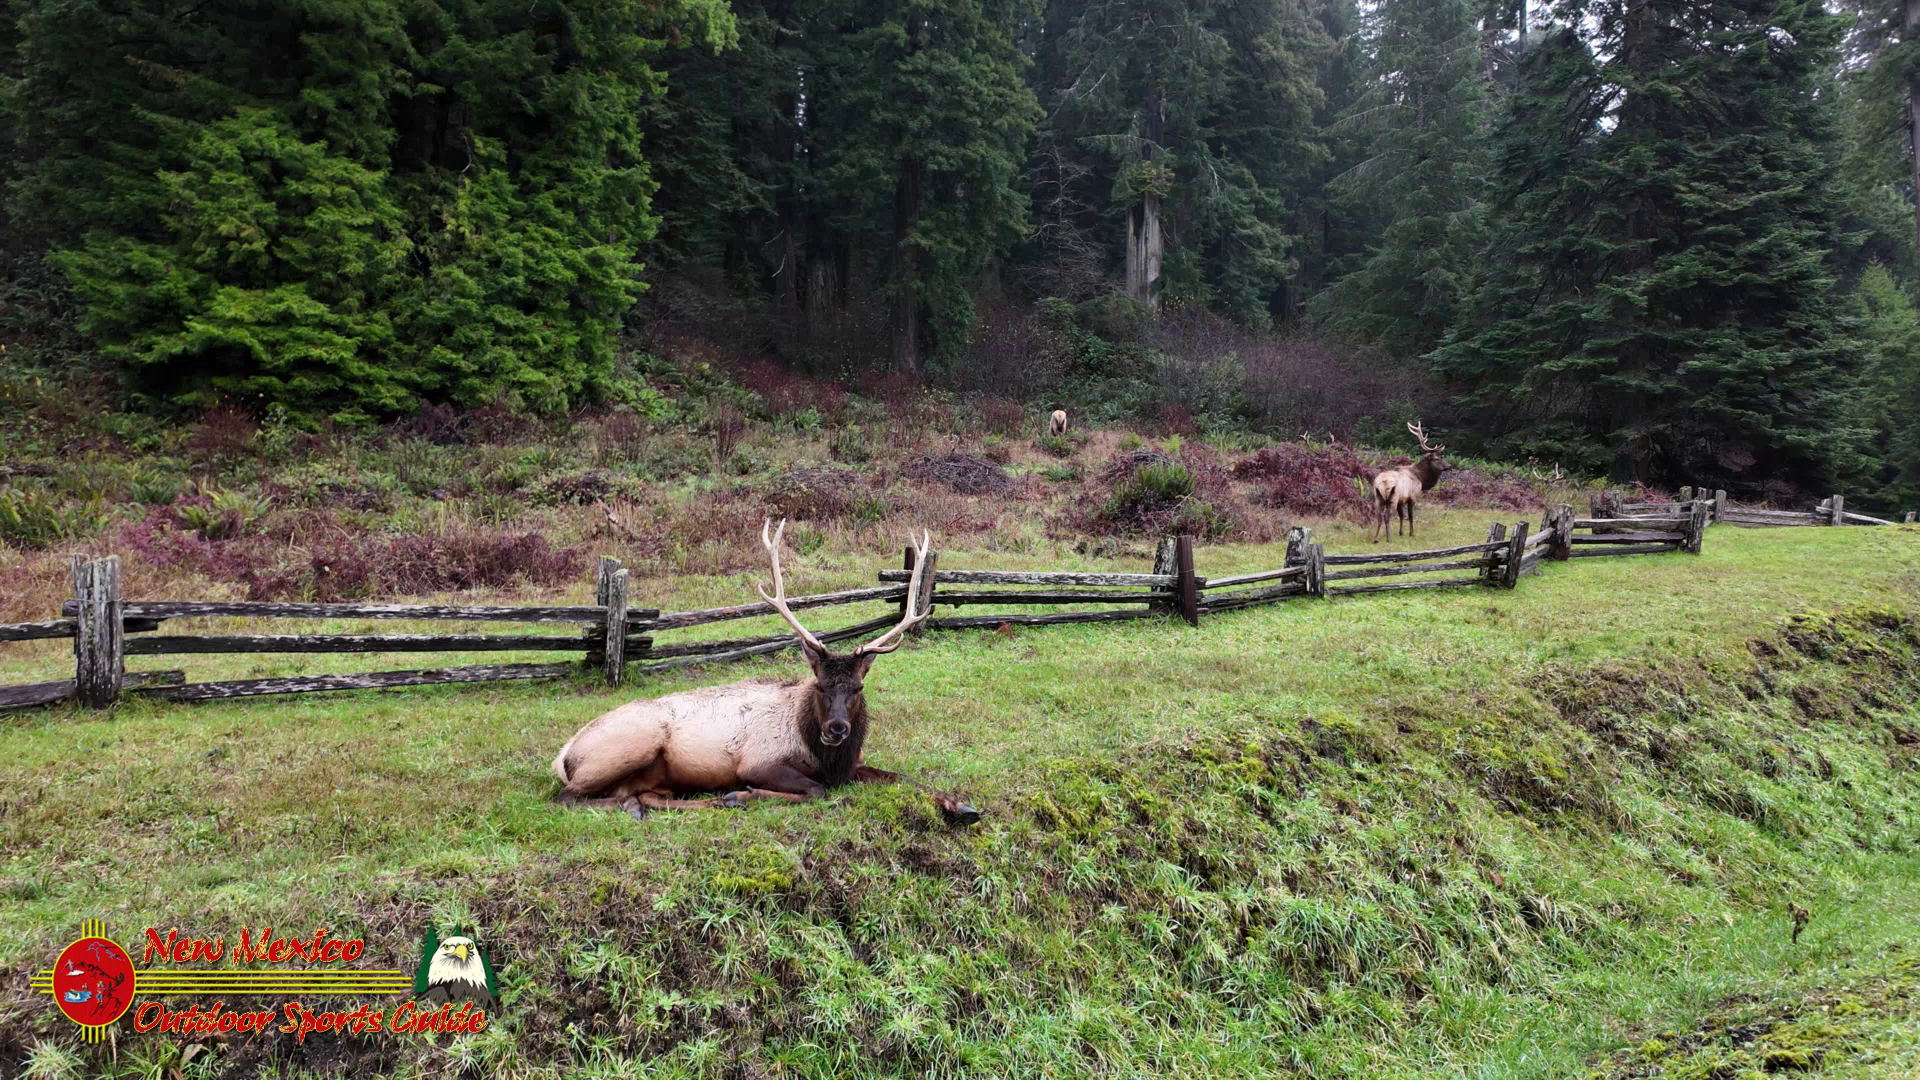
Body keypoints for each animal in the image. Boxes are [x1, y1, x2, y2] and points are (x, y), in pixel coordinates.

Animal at [550, 519, 978, 823]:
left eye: (857, 687)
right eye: (820, 684)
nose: (836, 729)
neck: (822, 752)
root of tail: (563, 755)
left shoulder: (851, 765)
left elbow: (899, 776)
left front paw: (962, 807)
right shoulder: (757, 762)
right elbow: (816, 790)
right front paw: (743, 793)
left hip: (651, 774)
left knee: (644, 794)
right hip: (630, 745)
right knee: (566, 797)